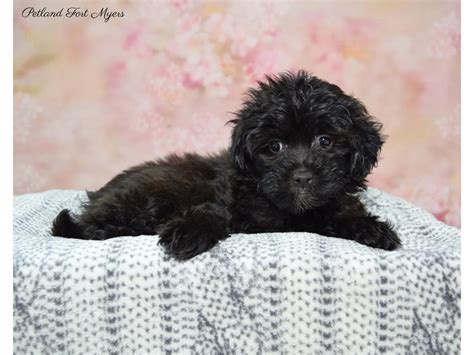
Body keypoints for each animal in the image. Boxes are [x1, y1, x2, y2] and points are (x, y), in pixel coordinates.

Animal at [51, 70, 400, 258]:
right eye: (274, 147)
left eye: (325, 141)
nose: (301, 177)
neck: (292, 212)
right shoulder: (228, 198)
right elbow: (214, 210)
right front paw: (188, 232)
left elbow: (343, 210)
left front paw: (372, 229)